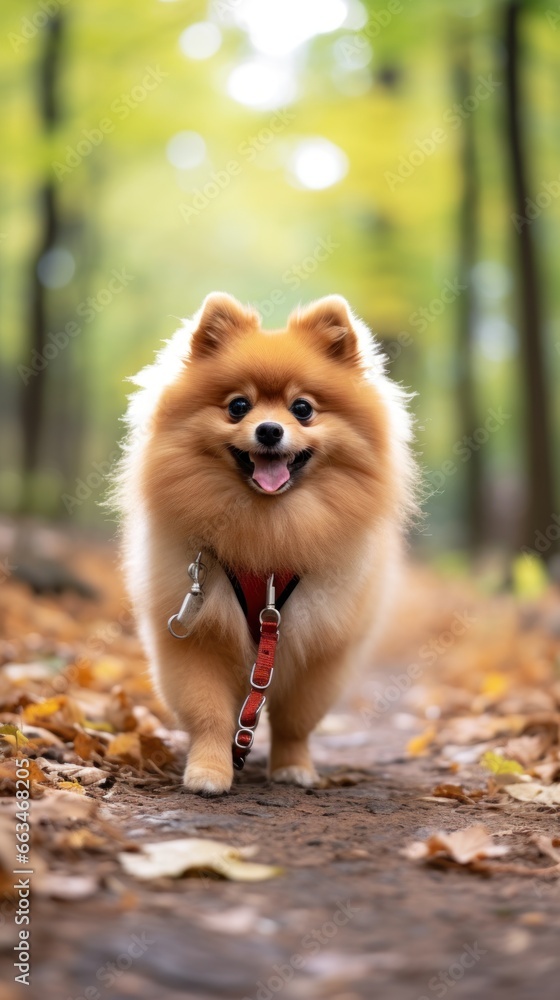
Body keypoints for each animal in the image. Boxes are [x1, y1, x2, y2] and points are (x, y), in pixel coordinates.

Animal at [117, 292, 416, 792]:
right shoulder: (197, 636)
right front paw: (209, 770)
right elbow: (209, 712)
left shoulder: (322, 648)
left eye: (302, 409)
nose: (270, 430)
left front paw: (294, 766)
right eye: (239, 406)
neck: (268, 530)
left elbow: (297, 719)